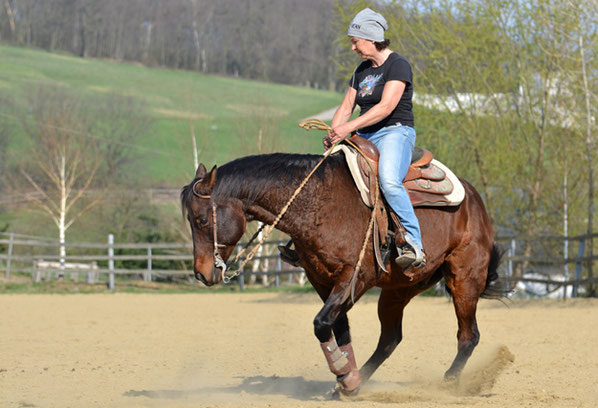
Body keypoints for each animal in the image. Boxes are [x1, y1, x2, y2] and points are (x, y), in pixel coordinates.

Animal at [180, 151, 504, 396]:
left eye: (201, 220)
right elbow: (339, 327)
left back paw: (449, 382)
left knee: (468, 335)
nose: (202, 273)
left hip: (464, 279)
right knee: (390, 339)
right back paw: (362, 379)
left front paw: (345, 376)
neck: (317, 203)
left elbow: (322, 323)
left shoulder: (355, 278)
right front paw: (348, 377)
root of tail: (474, 201)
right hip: (397, 291)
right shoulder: (321, 280)